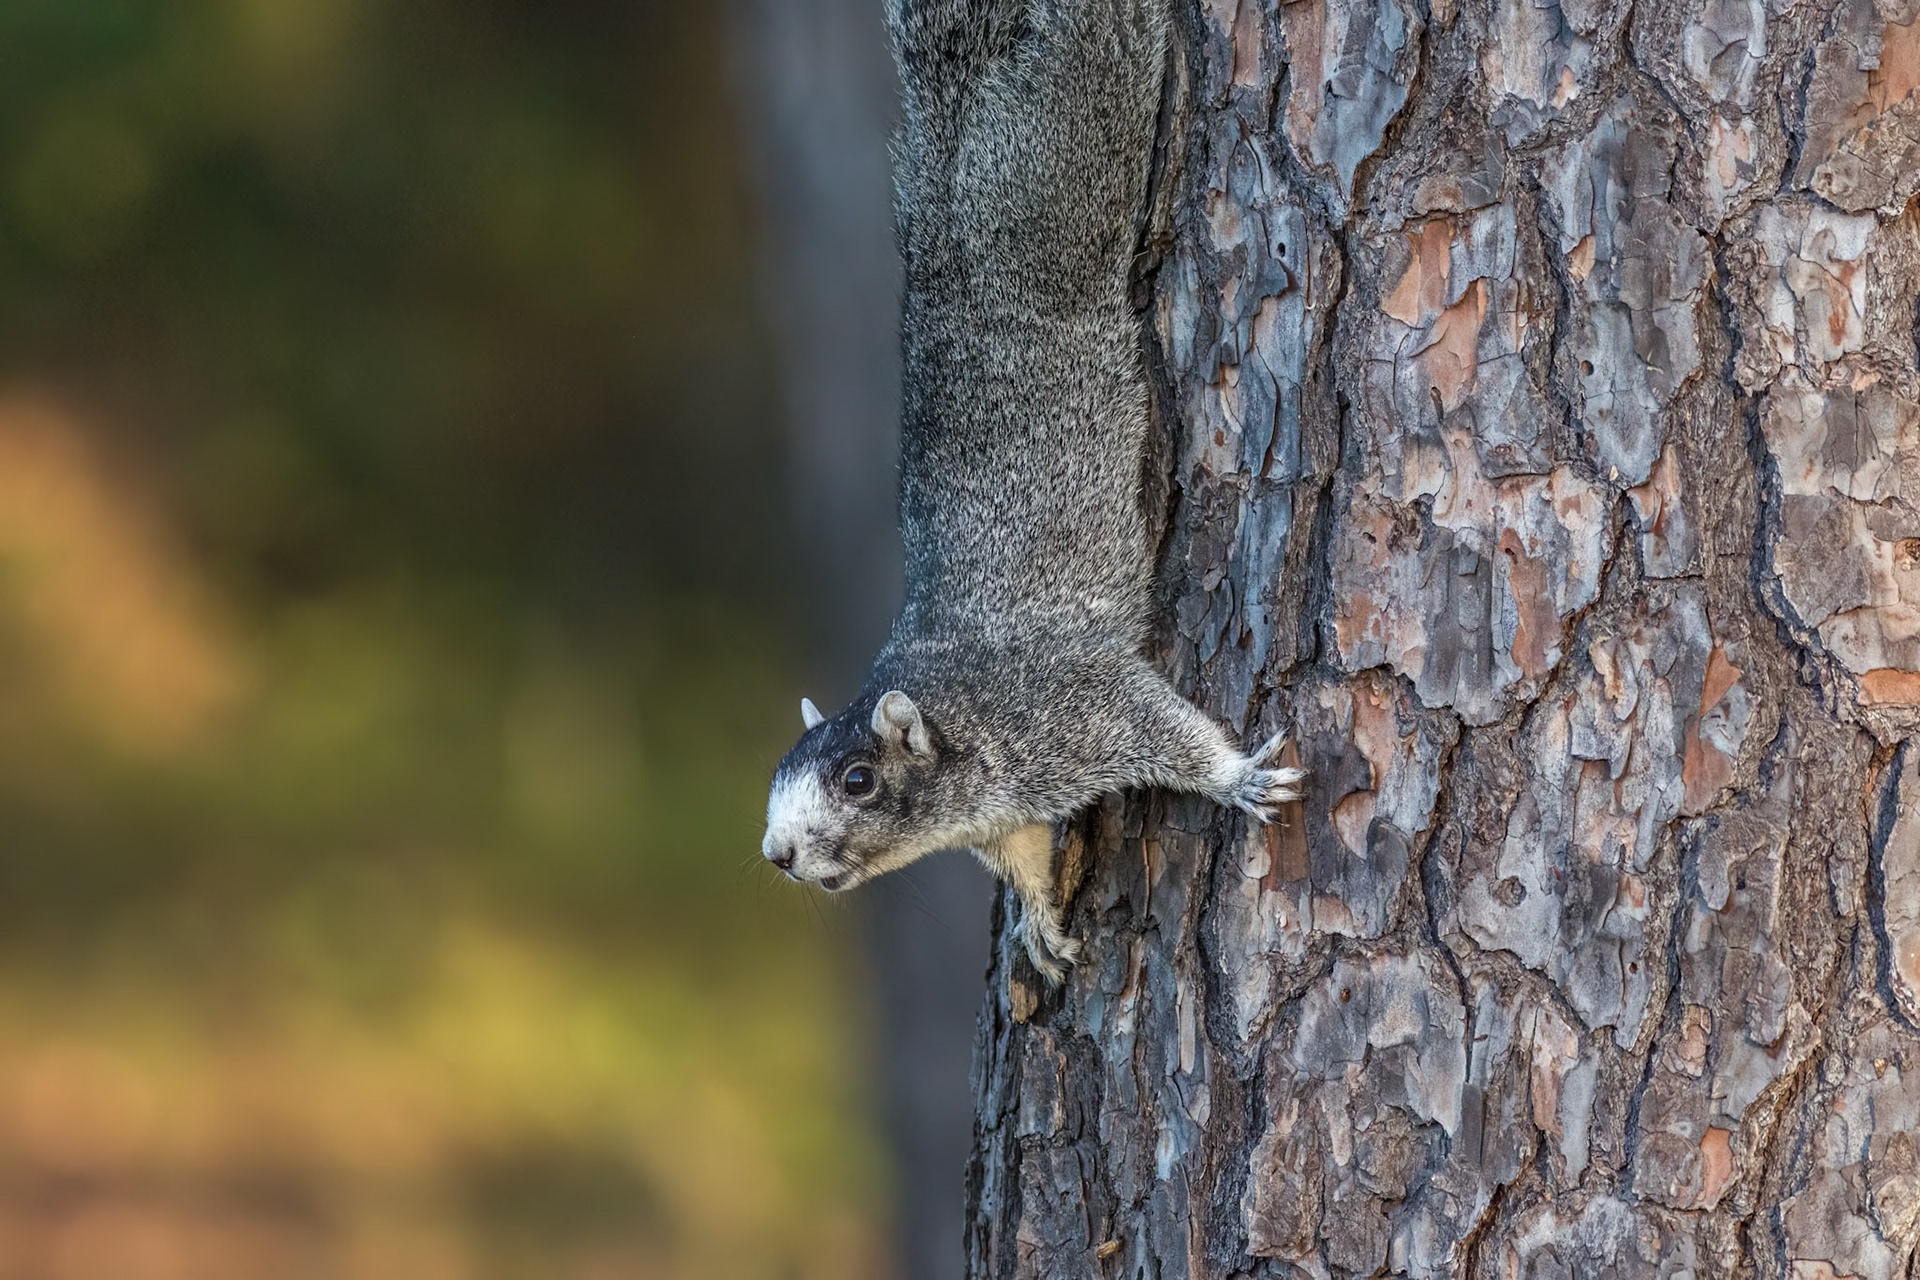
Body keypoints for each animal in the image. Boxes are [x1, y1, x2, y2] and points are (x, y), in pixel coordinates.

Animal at [762, 0, 1303, 984]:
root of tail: (959, 135)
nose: (777, 855)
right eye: (778, 773)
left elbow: (1161, 727)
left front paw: (1237, 776)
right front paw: (1039, 923)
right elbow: (1024, 857)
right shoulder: (1007, 814)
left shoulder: (1070, 707)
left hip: (1061, 153)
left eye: (859, 781)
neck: (957, 714)